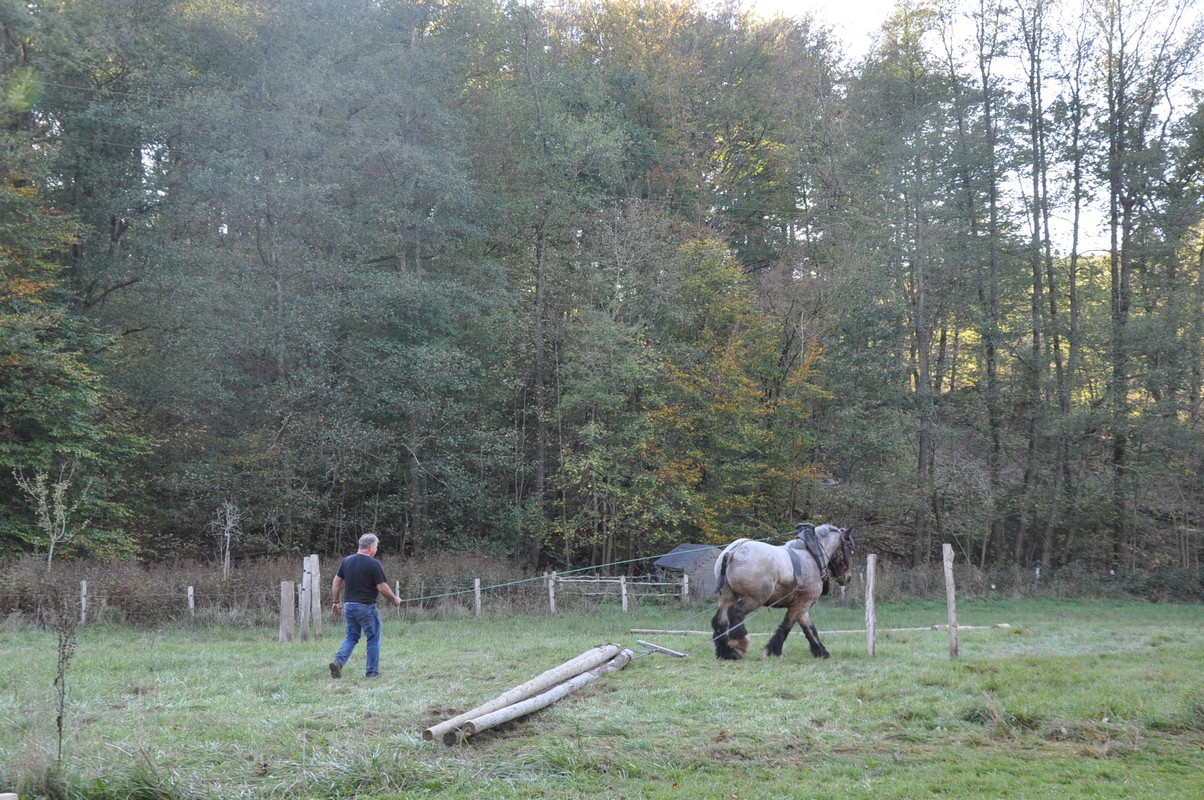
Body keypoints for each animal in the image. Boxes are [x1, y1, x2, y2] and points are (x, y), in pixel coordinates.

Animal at [712, 522, 857, 660]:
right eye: (849, 548)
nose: (848, 577)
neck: (812, 556)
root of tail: (733, 552)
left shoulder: (801, 603)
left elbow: (809, 628)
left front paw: (821, 652)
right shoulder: (804, 602)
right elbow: (787, 625)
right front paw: (773, 650)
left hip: (727, 597)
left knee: (720, 619)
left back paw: (725, 651)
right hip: (755, 599)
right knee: (737, 613)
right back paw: (738, 646)